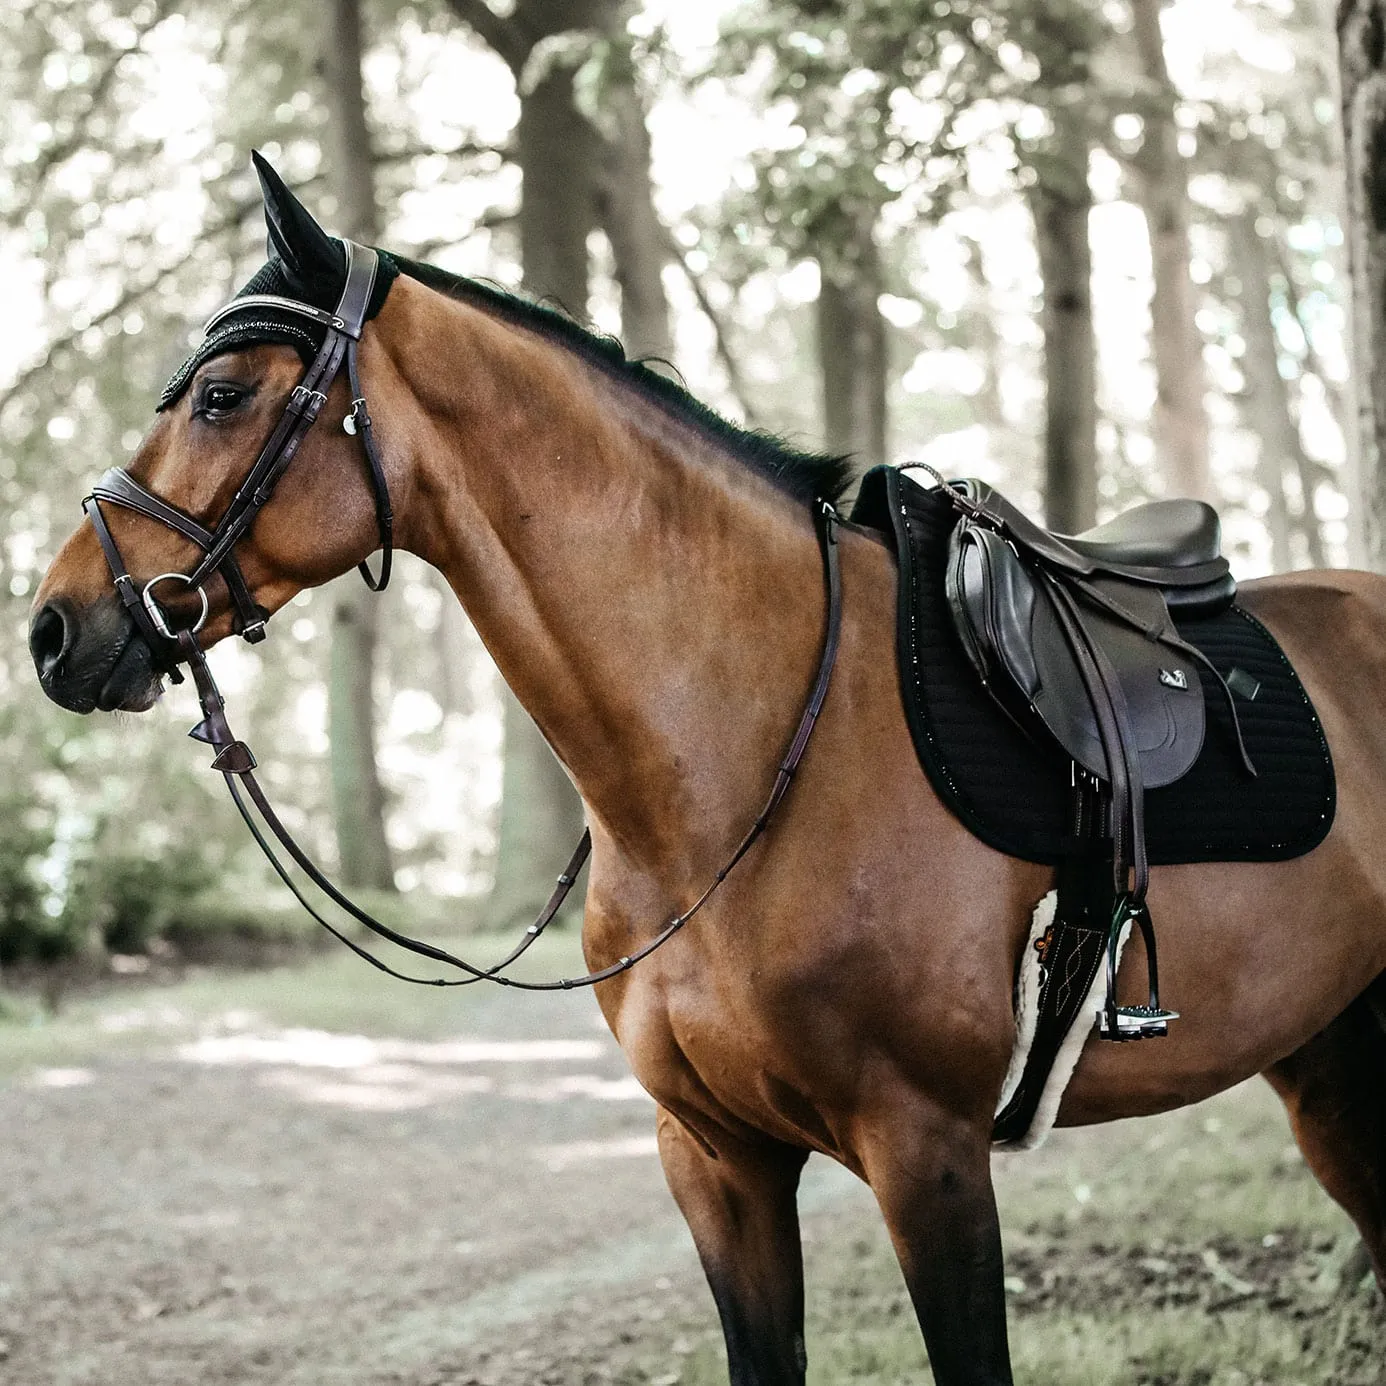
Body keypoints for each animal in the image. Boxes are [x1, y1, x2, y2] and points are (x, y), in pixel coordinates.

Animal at [27, 159, 1386, 1374]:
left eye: (219, 396)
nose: (54, 628)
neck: (744, 766)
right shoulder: (716, 1161)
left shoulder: (929, 1159)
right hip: (1328, 1065)